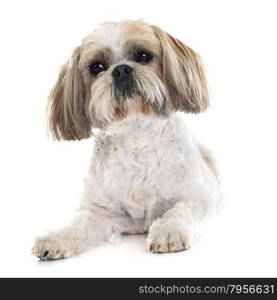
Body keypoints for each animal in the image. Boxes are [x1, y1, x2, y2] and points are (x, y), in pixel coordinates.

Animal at [31, 19, 220, 260]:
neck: (136, 136)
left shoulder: (196, 196)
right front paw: (57, 238)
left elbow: (181, 209)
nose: (121, 70)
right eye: (97, 67)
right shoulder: (101, 212)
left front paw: (169, 231)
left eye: (143, 55)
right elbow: (79, 226)